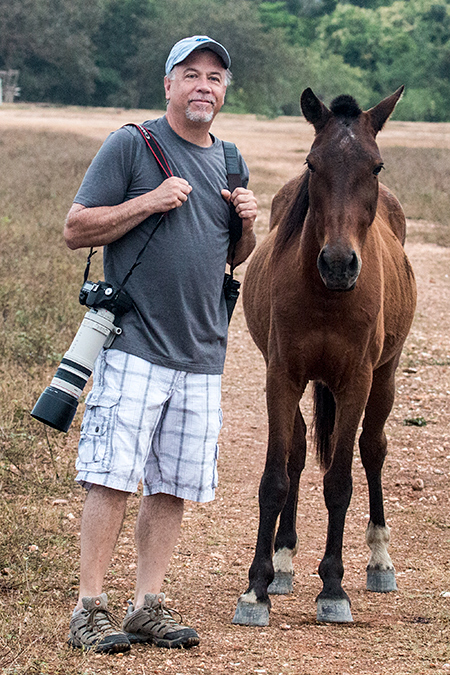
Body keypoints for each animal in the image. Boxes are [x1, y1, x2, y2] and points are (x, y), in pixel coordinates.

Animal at [234, 87, 416, 624]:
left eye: (375, 166)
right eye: (313, 164)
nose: (338, 263)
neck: (327, 296)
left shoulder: (356, 381)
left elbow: (339, 481)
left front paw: (333, 588)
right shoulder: (282, 376)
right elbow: (275, 477)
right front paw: (256, 588)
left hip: (384, 379)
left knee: (372, 450)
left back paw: (379, 560)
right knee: (296, 453)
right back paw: (284, 560)